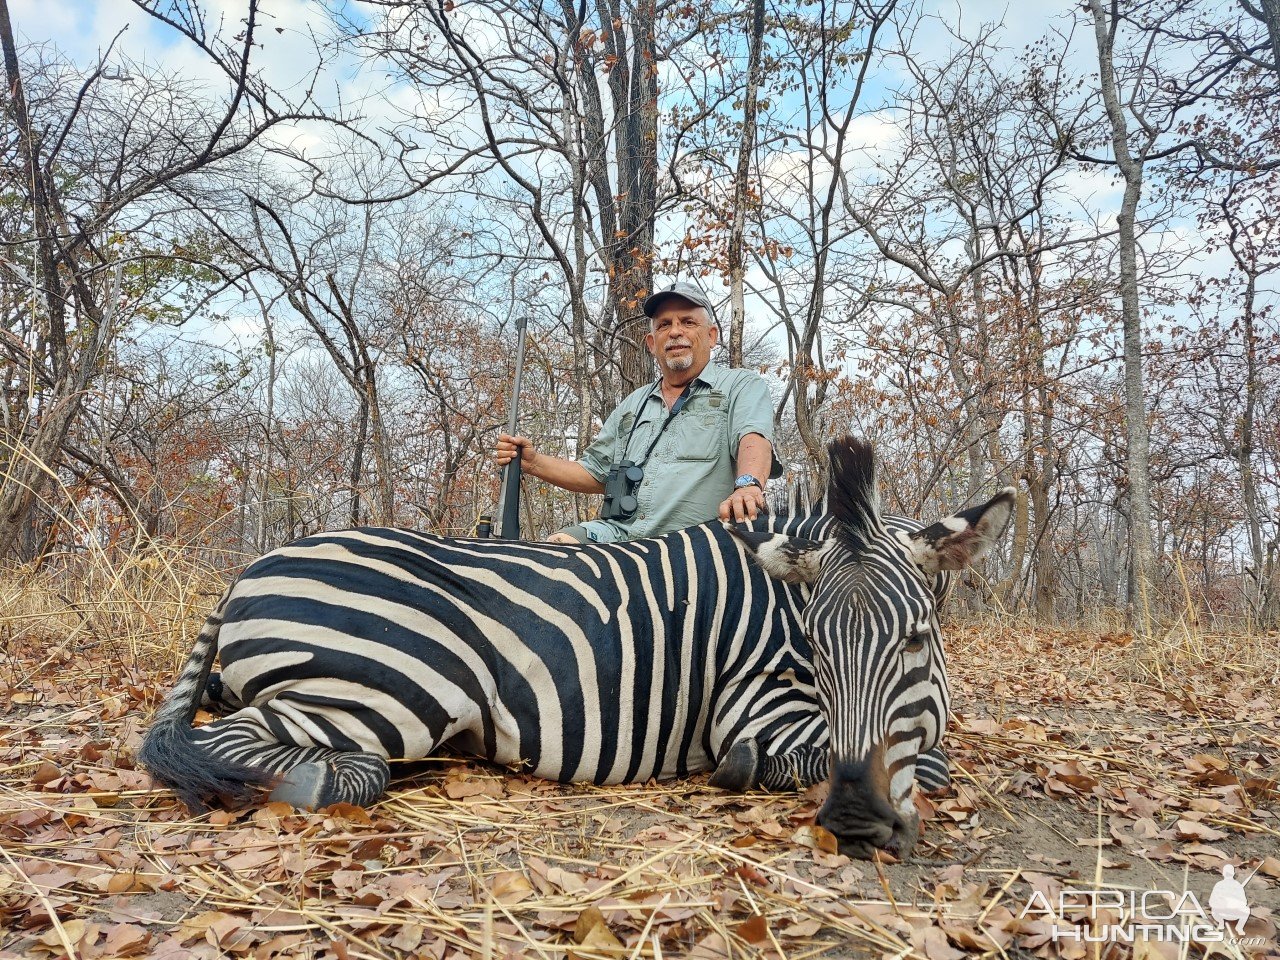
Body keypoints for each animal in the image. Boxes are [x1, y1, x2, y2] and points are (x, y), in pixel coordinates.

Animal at [140, 440, 1013, 860]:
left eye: (915, 641)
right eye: (816, 649)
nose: (857, 822)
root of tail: (253, 564)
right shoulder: (749, 708)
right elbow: (921, 761)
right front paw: (745, 772)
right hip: (399, 680)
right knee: (244, 748)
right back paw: (326, 776)